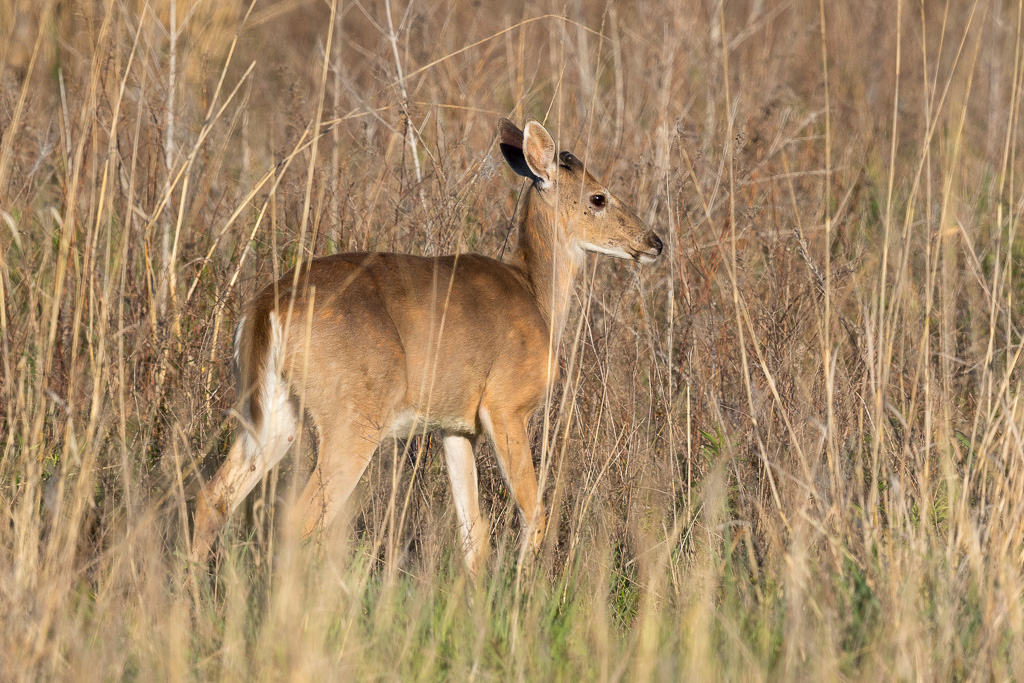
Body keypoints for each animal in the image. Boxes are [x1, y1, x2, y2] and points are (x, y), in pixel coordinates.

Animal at [191, 118, 663, 577]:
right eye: (599, 197)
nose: (655, 242)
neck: (537, 299)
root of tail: (264, 308)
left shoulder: (454, 425)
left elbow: (474, 534)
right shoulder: (506, 403)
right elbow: (534, 512)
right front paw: (520, 588)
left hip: (273, 408)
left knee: (214, 496)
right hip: (354, 413)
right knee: (300, 520)